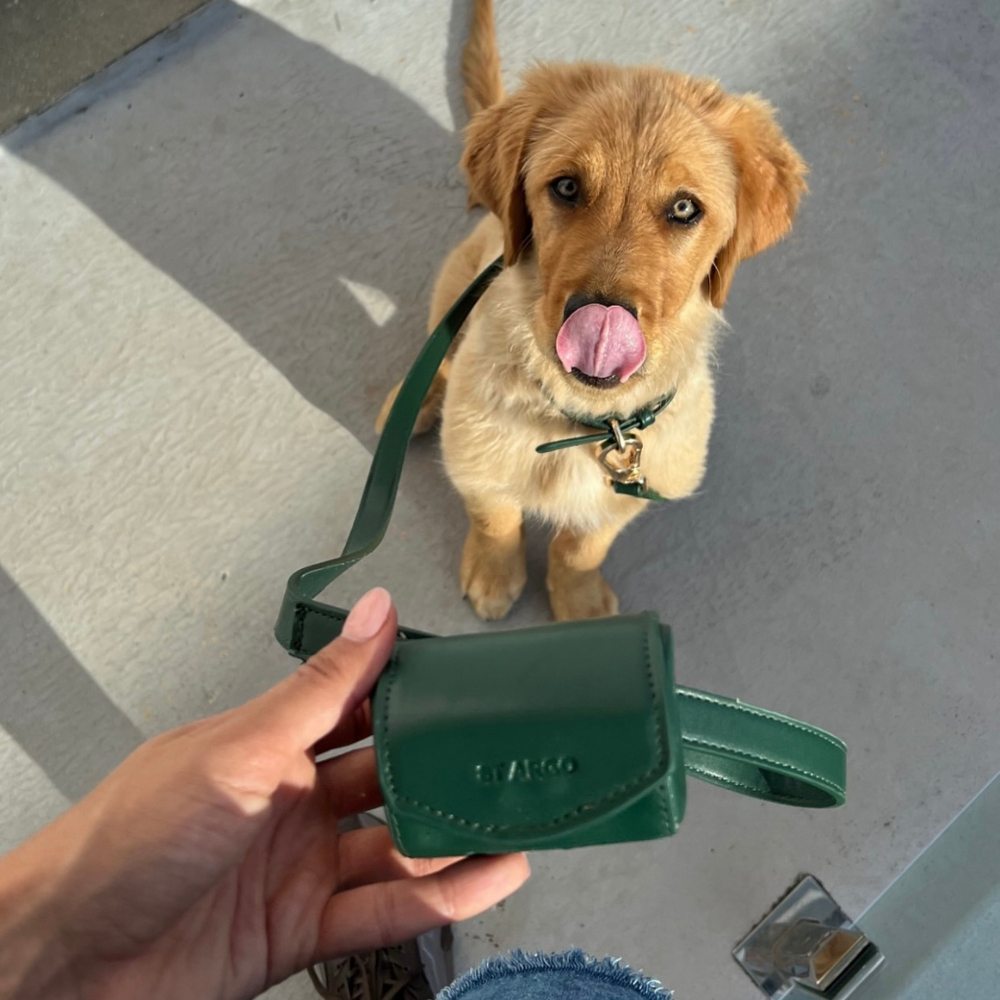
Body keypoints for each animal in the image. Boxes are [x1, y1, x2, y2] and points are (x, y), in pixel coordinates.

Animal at [376, 0, 804, 620]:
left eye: (684, 208)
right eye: (566, 187)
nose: (600, 326)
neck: (582, 421)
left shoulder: (631, 490)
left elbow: (584, 544)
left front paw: (577, 600)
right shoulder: (477, 463)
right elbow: (495, 515)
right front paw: (493, 572)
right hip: (459, 275)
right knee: (443, 353)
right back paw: (411, 403)